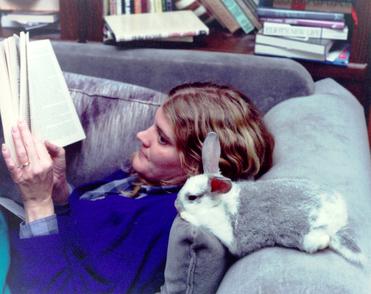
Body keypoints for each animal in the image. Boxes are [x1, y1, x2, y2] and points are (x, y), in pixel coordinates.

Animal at [177, 132, 366, 266]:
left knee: (321, 241)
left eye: (192, 197)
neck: (218, 202)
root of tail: (339, 223)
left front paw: (185, 215)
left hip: (309, 234)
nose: (176, 204)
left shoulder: (220, 228)